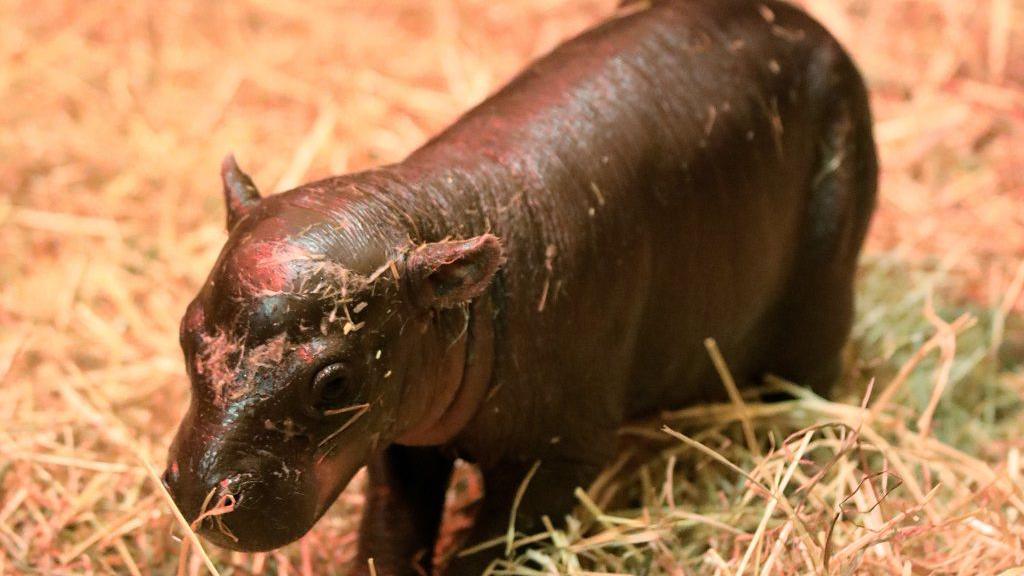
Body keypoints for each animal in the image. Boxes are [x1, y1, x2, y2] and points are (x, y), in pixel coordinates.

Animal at [163, 0, 876, 569]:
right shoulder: (402, 436)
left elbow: (492, 546)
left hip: (823, 287)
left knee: (812, 374)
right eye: (186, 331)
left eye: (334, 382)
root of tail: (804, 21)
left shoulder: (560, 457)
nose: (198, 492)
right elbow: (391, 530)